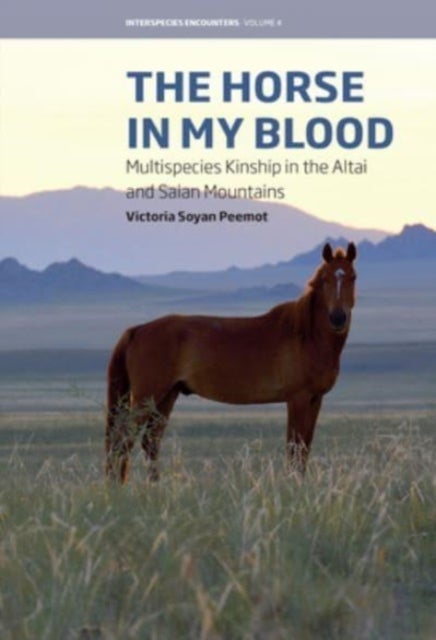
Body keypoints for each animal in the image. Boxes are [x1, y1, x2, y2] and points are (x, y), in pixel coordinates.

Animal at [106, 242, 357, 483]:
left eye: (353, 277)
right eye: (325, 279)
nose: (337, 318)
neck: (307, 336)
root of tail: (137, 330)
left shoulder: (315, 399)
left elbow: (304, 448)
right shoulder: (298, 399)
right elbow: (294, 448)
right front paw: (293, 484)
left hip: (167, 396)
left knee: (150, 442)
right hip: (147, 397)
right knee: (124, 439)